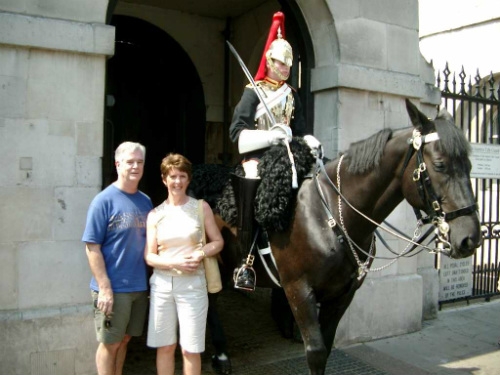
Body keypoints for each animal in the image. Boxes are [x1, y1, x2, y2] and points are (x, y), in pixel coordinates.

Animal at [191, 100, 480, 375]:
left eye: (469, 165)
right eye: (440, 164)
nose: (471, 238)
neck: (330, 216)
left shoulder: (342, 294)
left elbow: (327, 348)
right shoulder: (298, 290)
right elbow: (316, 352)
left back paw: (221, 354)